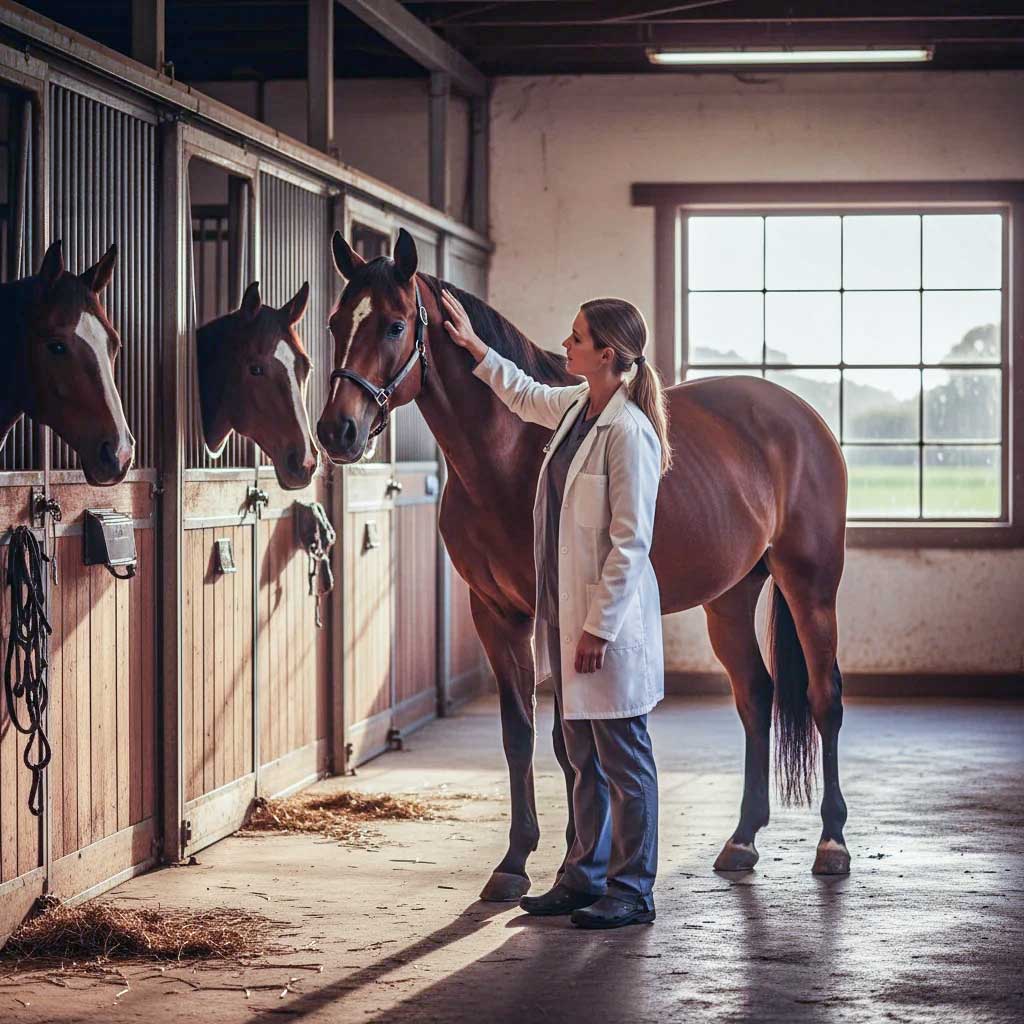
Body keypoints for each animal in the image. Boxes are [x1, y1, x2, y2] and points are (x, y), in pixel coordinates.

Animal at [318, 229, 850, 900]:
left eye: (393, 325)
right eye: (335, 322)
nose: (336, 431)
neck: (508, 452)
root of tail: (804, 418)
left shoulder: (556, 616)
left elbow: (565, 739)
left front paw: (575, 860)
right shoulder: (494, 614)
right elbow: (519, 734)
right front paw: (514, 861)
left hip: (811, 587)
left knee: (825, 698)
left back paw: (832, 844)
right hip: (729, 597)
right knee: (756, 696)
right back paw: (741, 841)